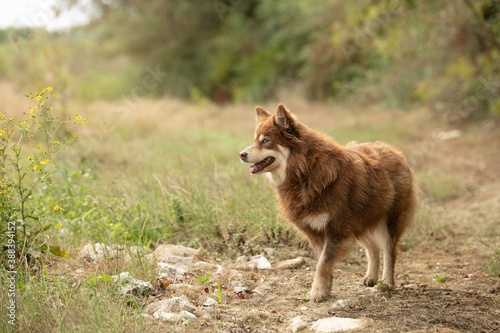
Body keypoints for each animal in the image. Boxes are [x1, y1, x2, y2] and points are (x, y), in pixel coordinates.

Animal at [239, 104, 418, 300]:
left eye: (265, 141)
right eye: (255, 140)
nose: (242, 154)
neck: (304, 171)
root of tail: (394, 151)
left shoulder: (337, 229)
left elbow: (323, 263)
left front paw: (318, 292)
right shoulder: (317, 232)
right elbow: (321, 261)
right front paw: (326, 288)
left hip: (388, 222)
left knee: (389, 251)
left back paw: (387, 283)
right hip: (361, 221)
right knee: (372, 249)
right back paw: (371, 277)